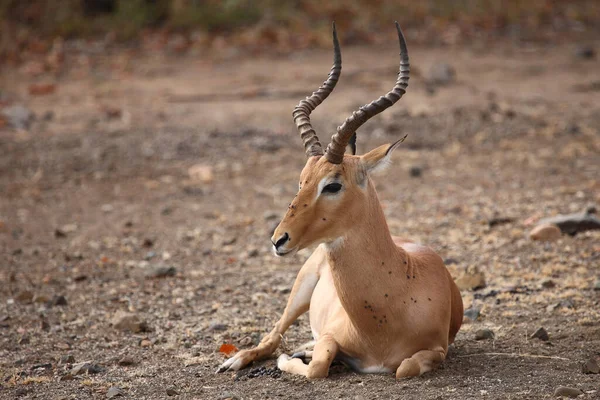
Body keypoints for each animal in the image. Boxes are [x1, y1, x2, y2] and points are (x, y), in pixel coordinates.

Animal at [218, 22, 462, 382]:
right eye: (301, 180)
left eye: (332, 185)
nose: (278, 239)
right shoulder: (331, 335)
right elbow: (318, 365)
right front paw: (293, 358)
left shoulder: (437, 350)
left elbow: (404, 368)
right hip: (301, 286)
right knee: (272, 335)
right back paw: (235, 360)